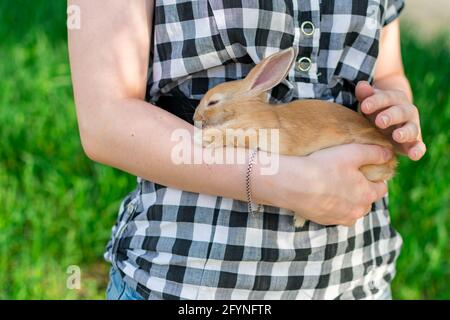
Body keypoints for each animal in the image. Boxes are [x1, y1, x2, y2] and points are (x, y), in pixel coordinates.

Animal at [192, 47, 396, 228]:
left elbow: (235, 134)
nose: (195, 118)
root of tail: (392, 160)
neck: (248, 111)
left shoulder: (265, 134)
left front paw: (205, 138)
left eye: (213, 102)